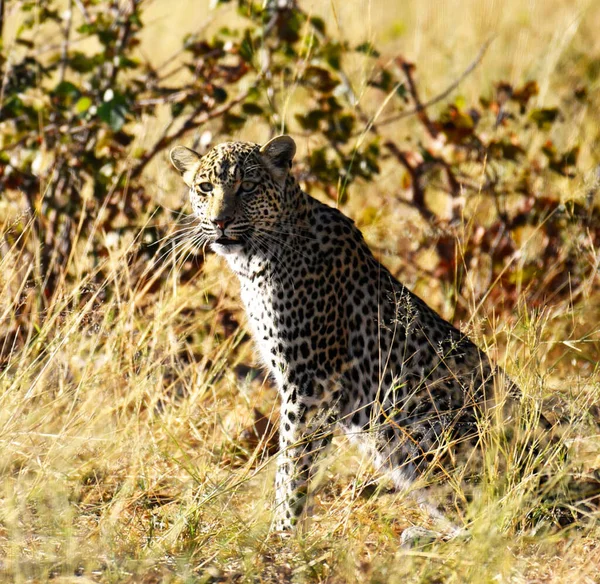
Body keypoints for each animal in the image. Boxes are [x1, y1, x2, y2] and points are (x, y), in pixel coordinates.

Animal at [170, 135, 520, 540]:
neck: (254, 260)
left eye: (248, 187)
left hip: (425, 423)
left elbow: (292, 463)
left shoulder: (311, 383)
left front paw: (283, 532)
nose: (220, 222)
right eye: (204, 188)